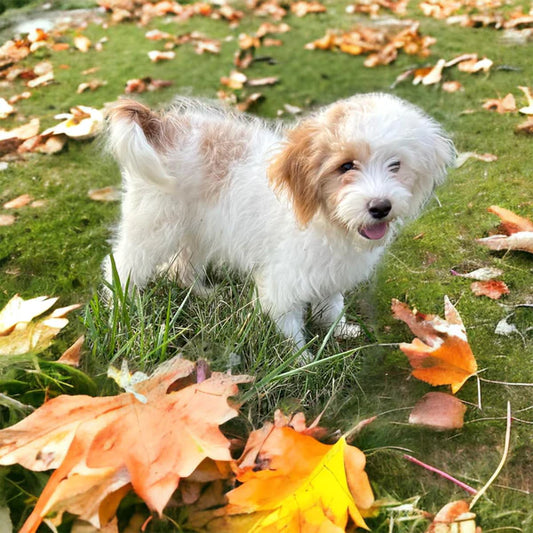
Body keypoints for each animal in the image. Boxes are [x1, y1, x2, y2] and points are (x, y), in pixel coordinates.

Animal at [105, 91, 454, 350]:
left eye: (396, 165)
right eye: (345, 166)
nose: (380, 207)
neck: (327, 220)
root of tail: (158, 125)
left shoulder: (329, 272)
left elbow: (332, 305)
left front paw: (339, 330)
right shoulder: (284, 280)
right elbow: (290, 327)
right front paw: (303, 361)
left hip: (197, 228)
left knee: (181, 267)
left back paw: (202, 293)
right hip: (153, 227)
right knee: (122, 266)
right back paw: (120, 312)